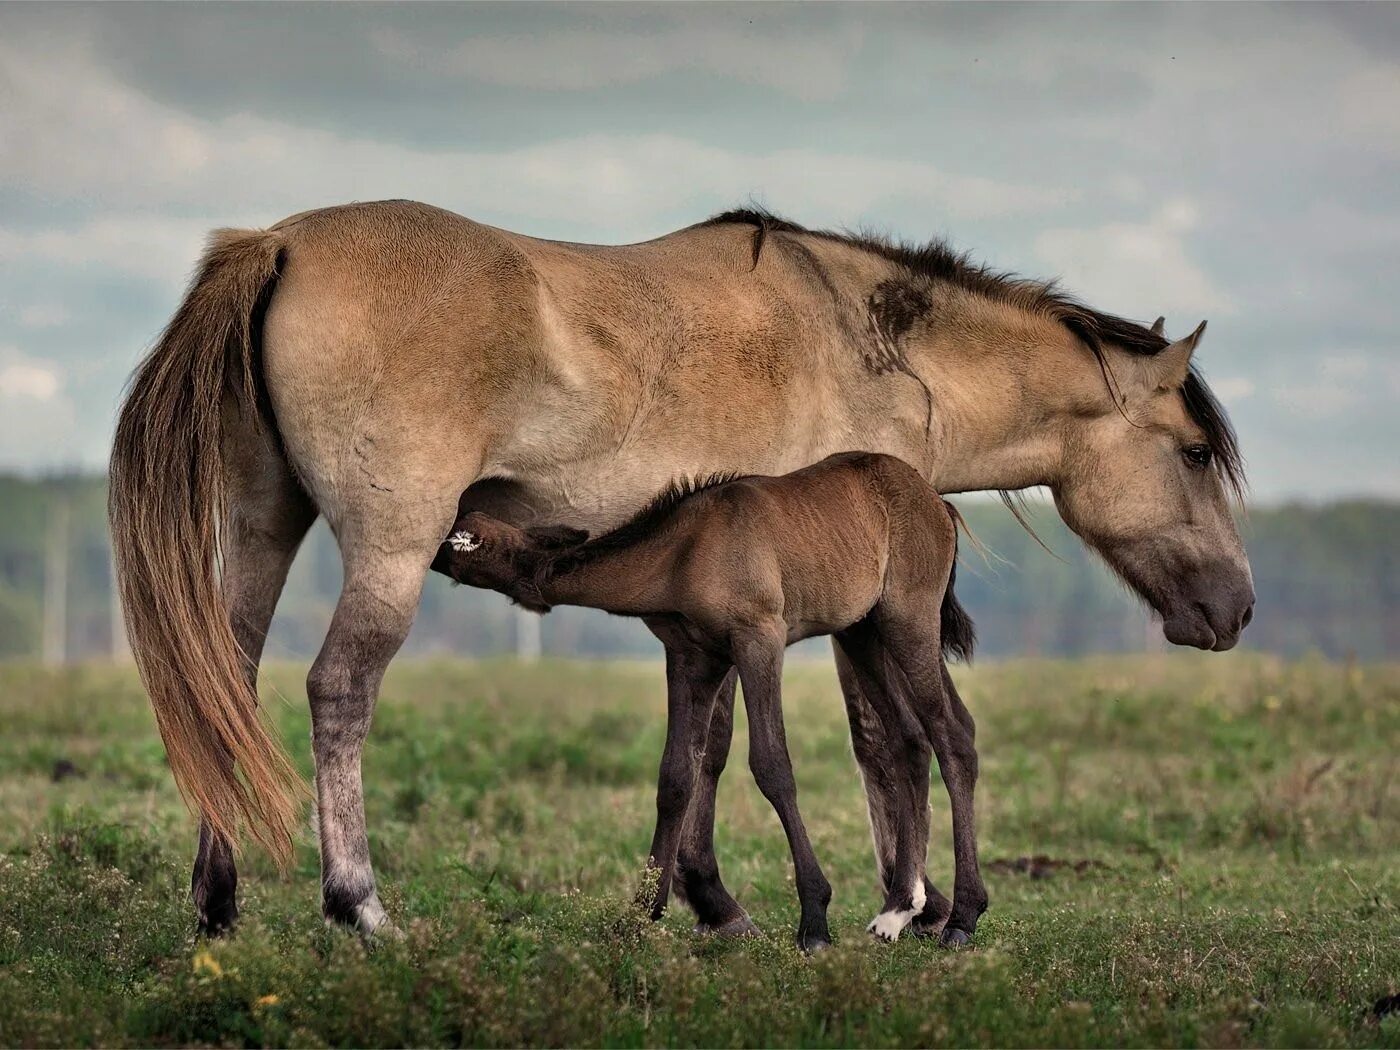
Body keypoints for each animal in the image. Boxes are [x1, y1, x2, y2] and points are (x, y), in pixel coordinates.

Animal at [434, 453, 985, 952]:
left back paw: (961, 917)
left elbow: (772, 766)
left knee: (952, 733)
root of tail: (938, 503)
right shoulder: (693, 659)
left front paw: (814, 919)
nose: (427, 541)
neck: (683, 553)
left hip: (908, 619)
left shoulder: (759, 639)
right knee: (910, 737)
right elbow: (676, 775)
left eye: (461, 535)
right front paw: (641, 914)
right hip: (861, 631)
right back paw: (899, 908)